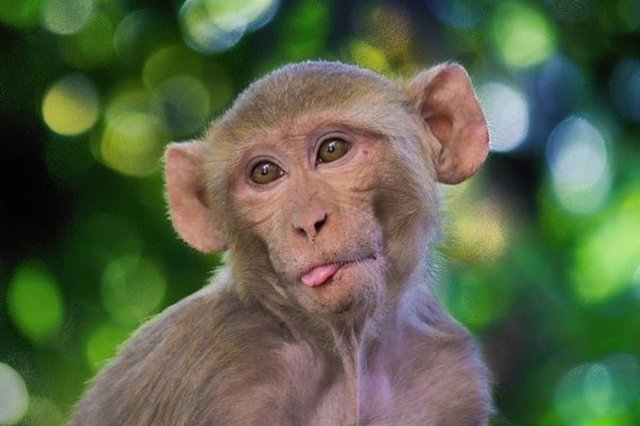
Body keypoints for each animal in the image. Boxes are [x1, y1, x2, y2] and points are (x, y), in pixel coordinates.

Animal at [72, 60, 492, 425]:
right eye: (264, 172)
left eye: (332, 150)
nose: (307, 223)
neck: (345, 352)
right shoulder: (220, 373)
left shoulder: (453, 377)